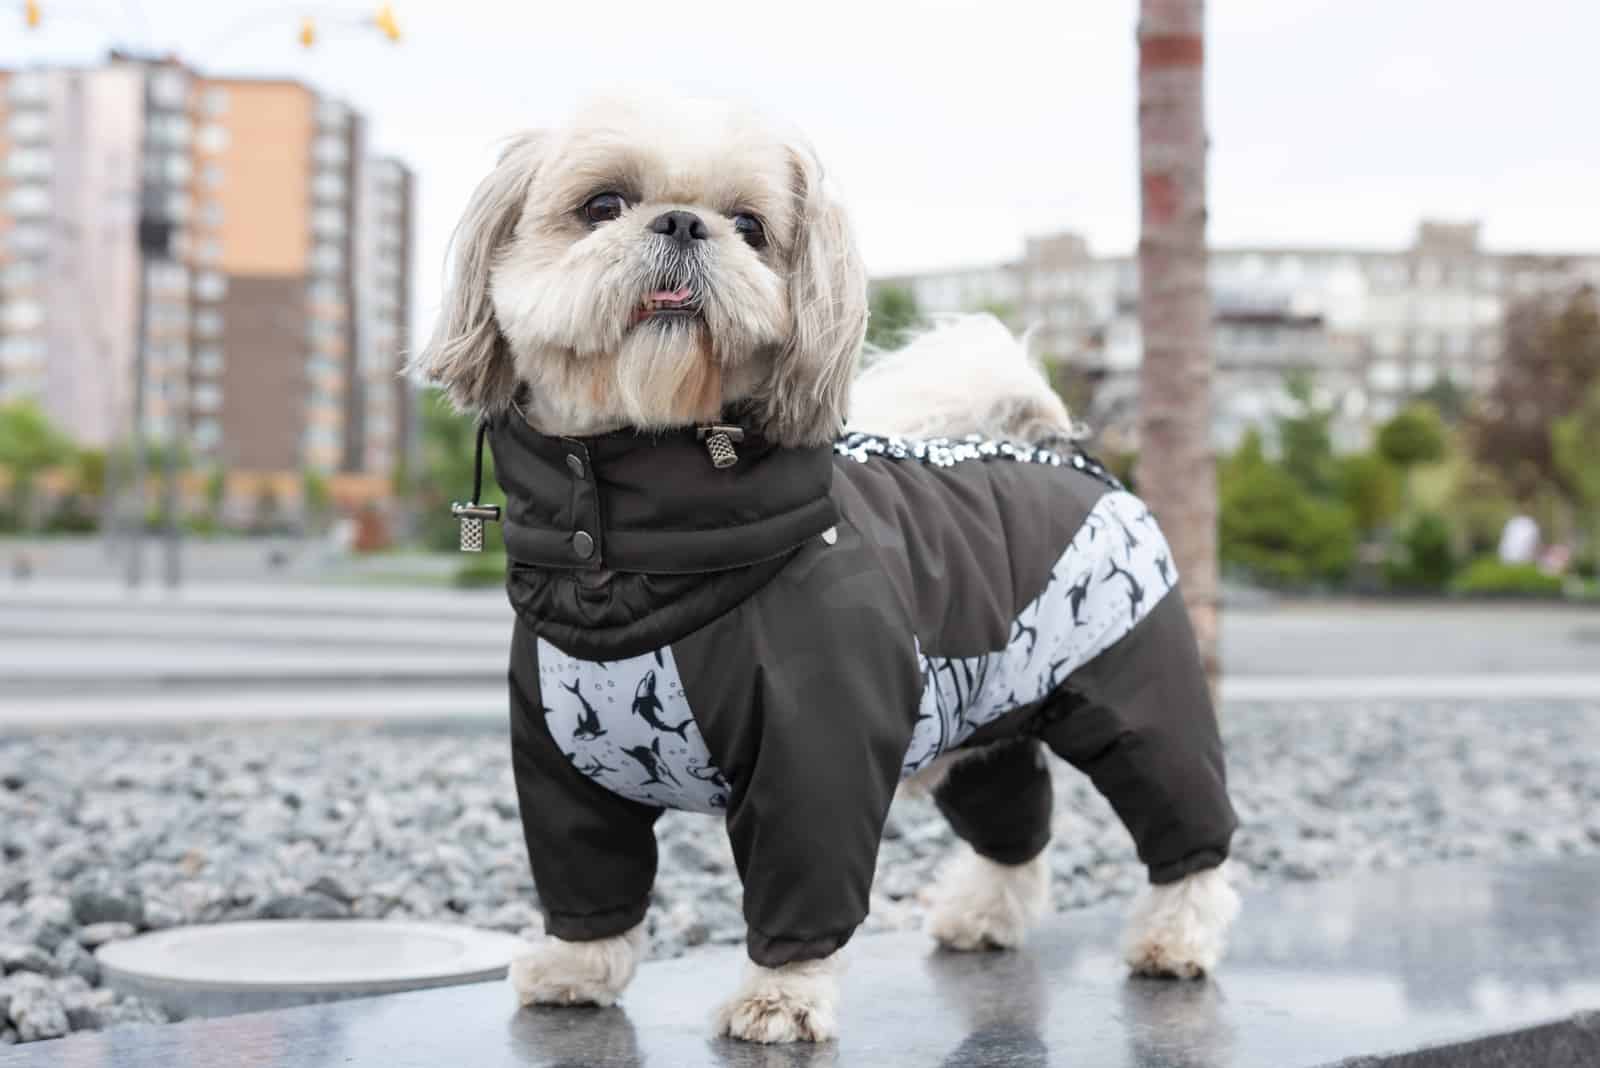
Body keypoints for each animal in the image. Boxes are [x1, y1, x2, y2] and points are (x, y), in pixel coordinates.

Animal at [412, 91, 1235, 1042]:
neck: (627, 547)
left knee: (1187, 828)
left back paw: (1177, 937)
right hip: (983, 727)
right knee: (1016, 829)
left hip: (1140, 694)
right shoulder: (559, 772)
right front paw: (576, 968)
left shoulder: (815, 761)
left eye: (750, 226)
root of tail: (1066, 449)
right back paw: (982, 915)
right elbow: (589, 882)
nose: (684, 222)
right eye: (602, 205)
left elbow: (801, 891)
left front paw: (781, 998)